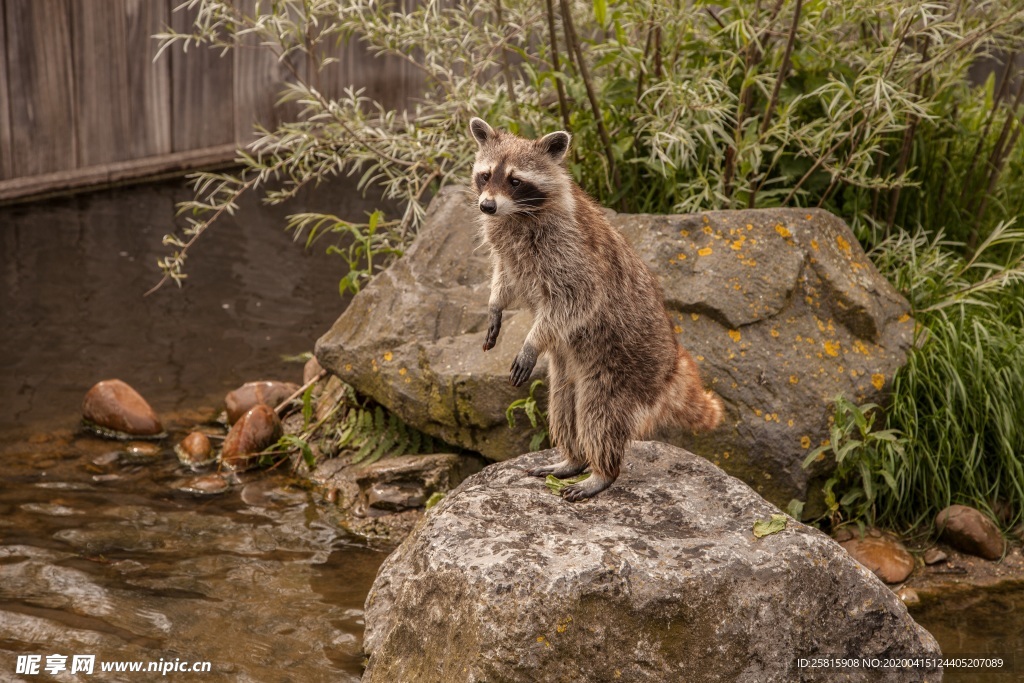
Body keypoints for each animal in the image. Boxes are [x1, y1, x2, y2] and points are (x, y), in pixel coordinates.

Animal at [468, 118, 724, 501]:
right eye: (485, 175)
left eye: (515, 180)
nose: (486, 206)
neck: (517, 214)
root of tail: (672, 367)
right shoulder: (509, 250)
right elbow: (505, 277)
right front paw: (495, 304)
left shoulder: (570, 251)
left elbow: (577, 299)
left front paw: (532, 340)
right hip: (569, 368)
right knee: (563, 403)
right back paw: (572, 457)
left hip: (621, 368)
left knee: (599, 414)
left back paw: (602, 471)